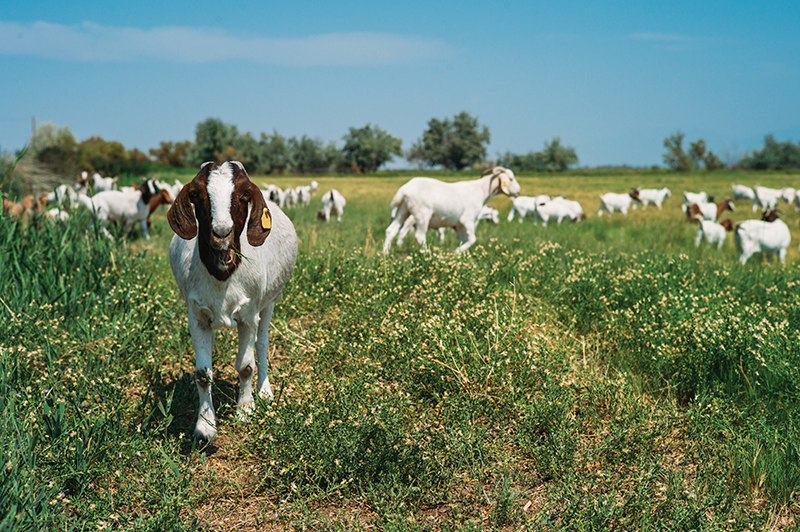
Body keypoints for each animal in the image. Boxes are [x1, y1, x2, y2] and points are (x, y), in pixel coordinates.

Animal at [168, 160, 296, 442]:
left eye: (244, 195)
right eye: (197, 195)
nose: (221, 233)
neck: (222, 274)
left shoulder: (248, 314)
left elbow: (246, 366)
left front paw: (245, 411)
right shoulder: (197, 317)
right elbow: (203, 374)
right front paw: (205, 425)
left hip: (269, 302)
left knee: (262, 342)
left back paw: (264, 391)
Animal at [384, 166, 520, 254]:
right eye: (511, 179)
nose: (518, 192)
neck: (480, 191)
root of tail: (404, 189)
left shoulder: (458, 225)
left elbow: (463, 240)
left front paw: (464, 257)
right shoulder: (468, 220)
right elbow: (472, 239)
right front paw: (457, 251)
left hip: (403, 211)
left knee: (391, 230)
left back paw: (385, 254)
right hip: (422, 214)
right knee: (419, 236)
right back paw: (427, 255)